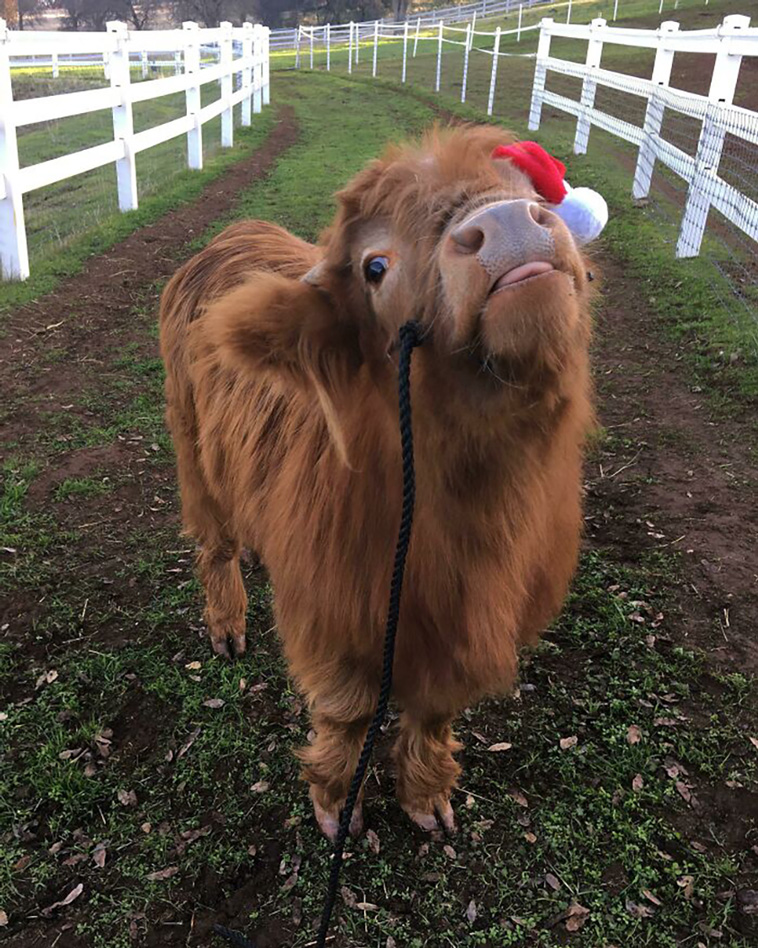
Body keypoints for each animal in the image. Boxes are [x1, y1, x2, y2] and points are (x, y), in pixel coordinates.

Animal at [159, 125, 596, 839]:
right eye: (375, 266)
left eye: (525, 191)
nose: (508, 223)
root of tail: (233, 232)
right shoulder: (335, 618)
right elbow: (348, 714)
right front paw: (338, 804)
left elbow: (434, 712)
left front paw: (427, 797)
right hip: (193, 446)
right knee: (213, 543)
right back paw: (226, 626)